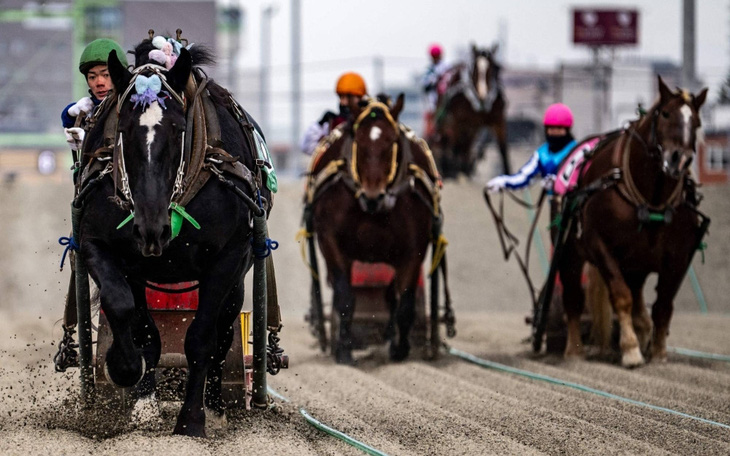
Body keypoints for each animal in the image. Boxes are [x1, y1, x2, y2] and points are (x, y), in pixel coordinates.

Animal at [77, 43, 272, 438]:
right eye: (123, 128)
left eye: (179, 128)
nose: (152, 229)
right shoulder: (100, 244)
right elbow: (126, 311)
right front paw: (130, 378)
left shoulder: (229, 255)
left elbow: (202, 338)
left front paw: (192, 419)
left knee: (224, 330)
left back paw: (214, 405)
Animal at [302, 95, 444, 364]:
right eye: (359, 141)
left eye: (392, 141)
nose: (373, 195)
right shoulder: (330, 240)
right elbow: (345, 297)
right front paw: (344, 349)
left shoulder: (413, 248)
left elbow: (405, 301)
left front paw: (400, 349)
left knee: (392, 296)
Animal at [430, 43, 510, 178]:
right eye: (475, 70)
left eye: (493, 67)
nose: (483, 95)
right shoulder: (458, 120)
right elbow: (456, 146)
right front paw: (455, 170)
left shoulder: (498, 120)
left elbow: (503, 148)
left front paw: (508, 173)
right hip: (445, 117)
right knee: (446, 140)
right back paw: (448, 167)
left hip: (472, 127)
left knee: (466, 144)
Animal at [552, 77, 704, 366]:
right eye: (665, 114)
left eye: (697, 122)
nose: (680, 158)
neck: (651, 198)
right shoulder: (600, 245)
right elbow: (620, 296)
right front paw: (631, 350)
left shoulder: (679, 254)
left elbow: (663, 304)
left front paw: (658, 353)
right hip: (570, 251)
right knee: (573, 296)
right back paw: (574, 351)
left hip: (637, 261)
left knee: (638, 296)